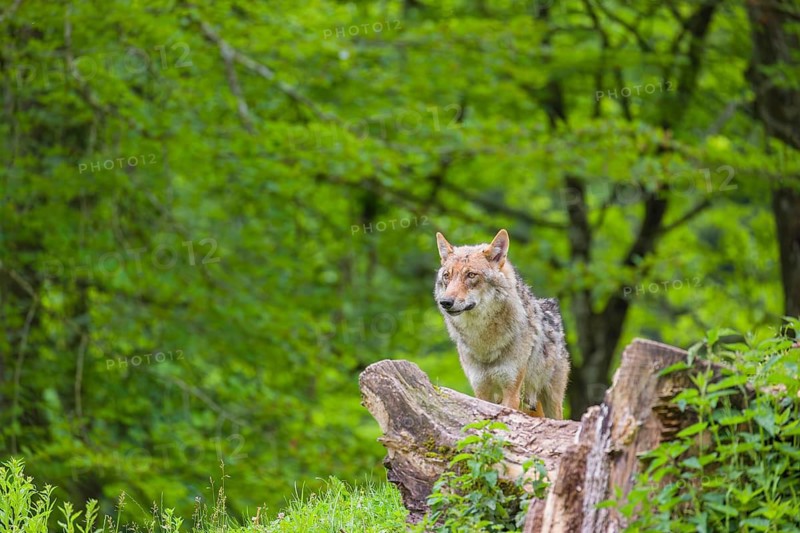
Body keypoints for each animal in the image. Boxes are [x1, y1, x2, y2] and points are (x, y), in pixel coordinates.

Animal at [434, 229, 570, 419]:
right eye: (447, 276)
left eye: (471, 275)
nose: (445, 302)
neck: (484, 341)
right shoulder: (481, 390)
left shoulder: (511, 392)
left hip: (551, 401)